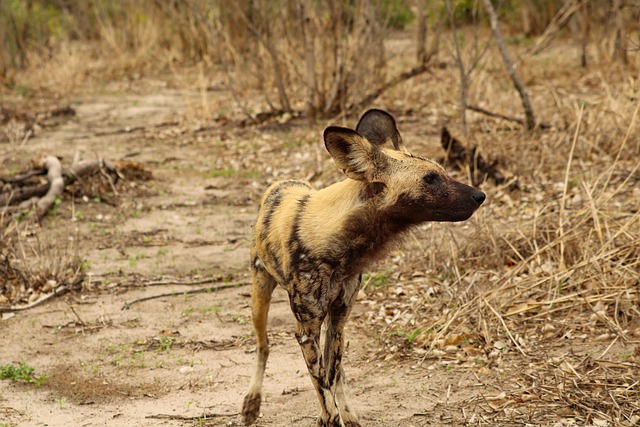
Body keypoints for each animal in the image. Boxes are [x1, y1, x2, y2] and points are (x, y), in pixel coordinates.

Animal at [241, 109, 484, 424]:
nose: (480, 195)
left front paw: (339, 414)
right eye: (430, 179)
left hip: (334, 327)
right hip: (260, 298)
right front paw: (330, 417)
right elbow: (323, 390)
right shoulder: (306, 330)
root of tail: (279, 183)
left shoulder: (337, 319)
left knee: (335, 370)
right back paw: (252, 403)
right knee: (263, 346)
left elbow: (330, 378)